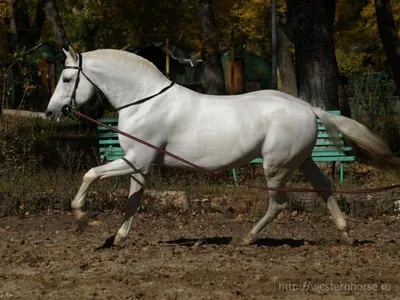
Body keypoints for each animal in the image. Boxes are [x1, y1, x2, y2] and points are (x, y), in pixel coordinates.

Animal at [45, 47, 396, 247]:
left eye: (66, 79)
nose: (50, 112)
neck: (144, 102)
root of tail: (308, 108)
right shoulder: (140, 166)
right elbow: (132, 202)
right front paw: (117, 238)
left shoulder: (135, 160)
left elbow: (91, 174)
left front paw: (81, 219)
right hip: (303, 161)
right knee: (324, 188)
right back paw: (346, 234)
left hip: (275, 166)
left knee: (279, 204)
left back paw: (246, 238)